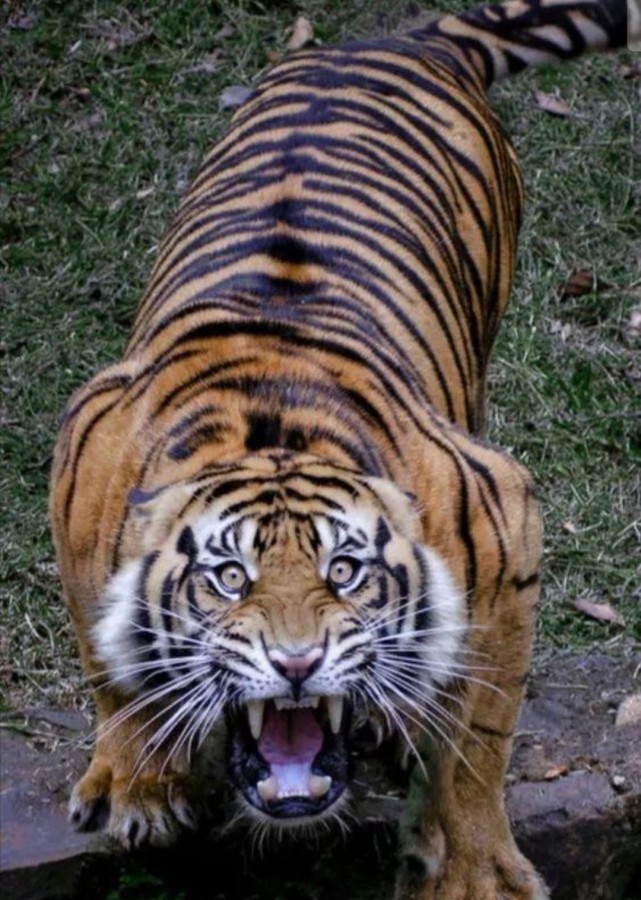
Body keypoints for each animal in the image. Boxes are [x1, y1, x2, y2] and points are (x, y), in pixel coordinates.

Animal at [49, 1, 635, 897]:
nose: (296, 664)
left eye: (346, 571)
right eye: (228, 578)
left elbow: (476, 737)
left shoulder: (505, 527)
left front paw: (476, 874)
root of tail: (393, 39)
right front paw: (137, 781)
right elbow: (104, 654)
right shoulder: (80, 462)